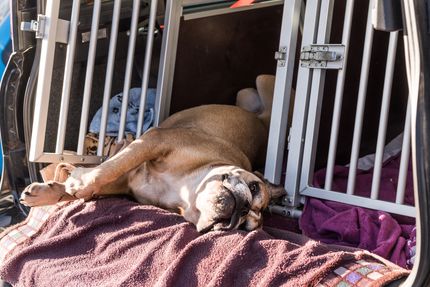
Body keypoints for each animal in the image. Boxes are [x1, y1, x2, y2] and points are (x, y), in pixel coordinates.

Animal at [21, 75, 286, 233]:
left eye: (245, 226)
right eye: (254, 188)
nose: (243, 209)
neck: (187, 192)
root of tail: (263, 122)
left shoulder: (126, 183)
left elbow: (93, 186)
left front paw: (53, 191)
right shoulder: (153, 141)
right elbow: (108, 168)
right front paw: (71, 183)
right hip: (256, 84)